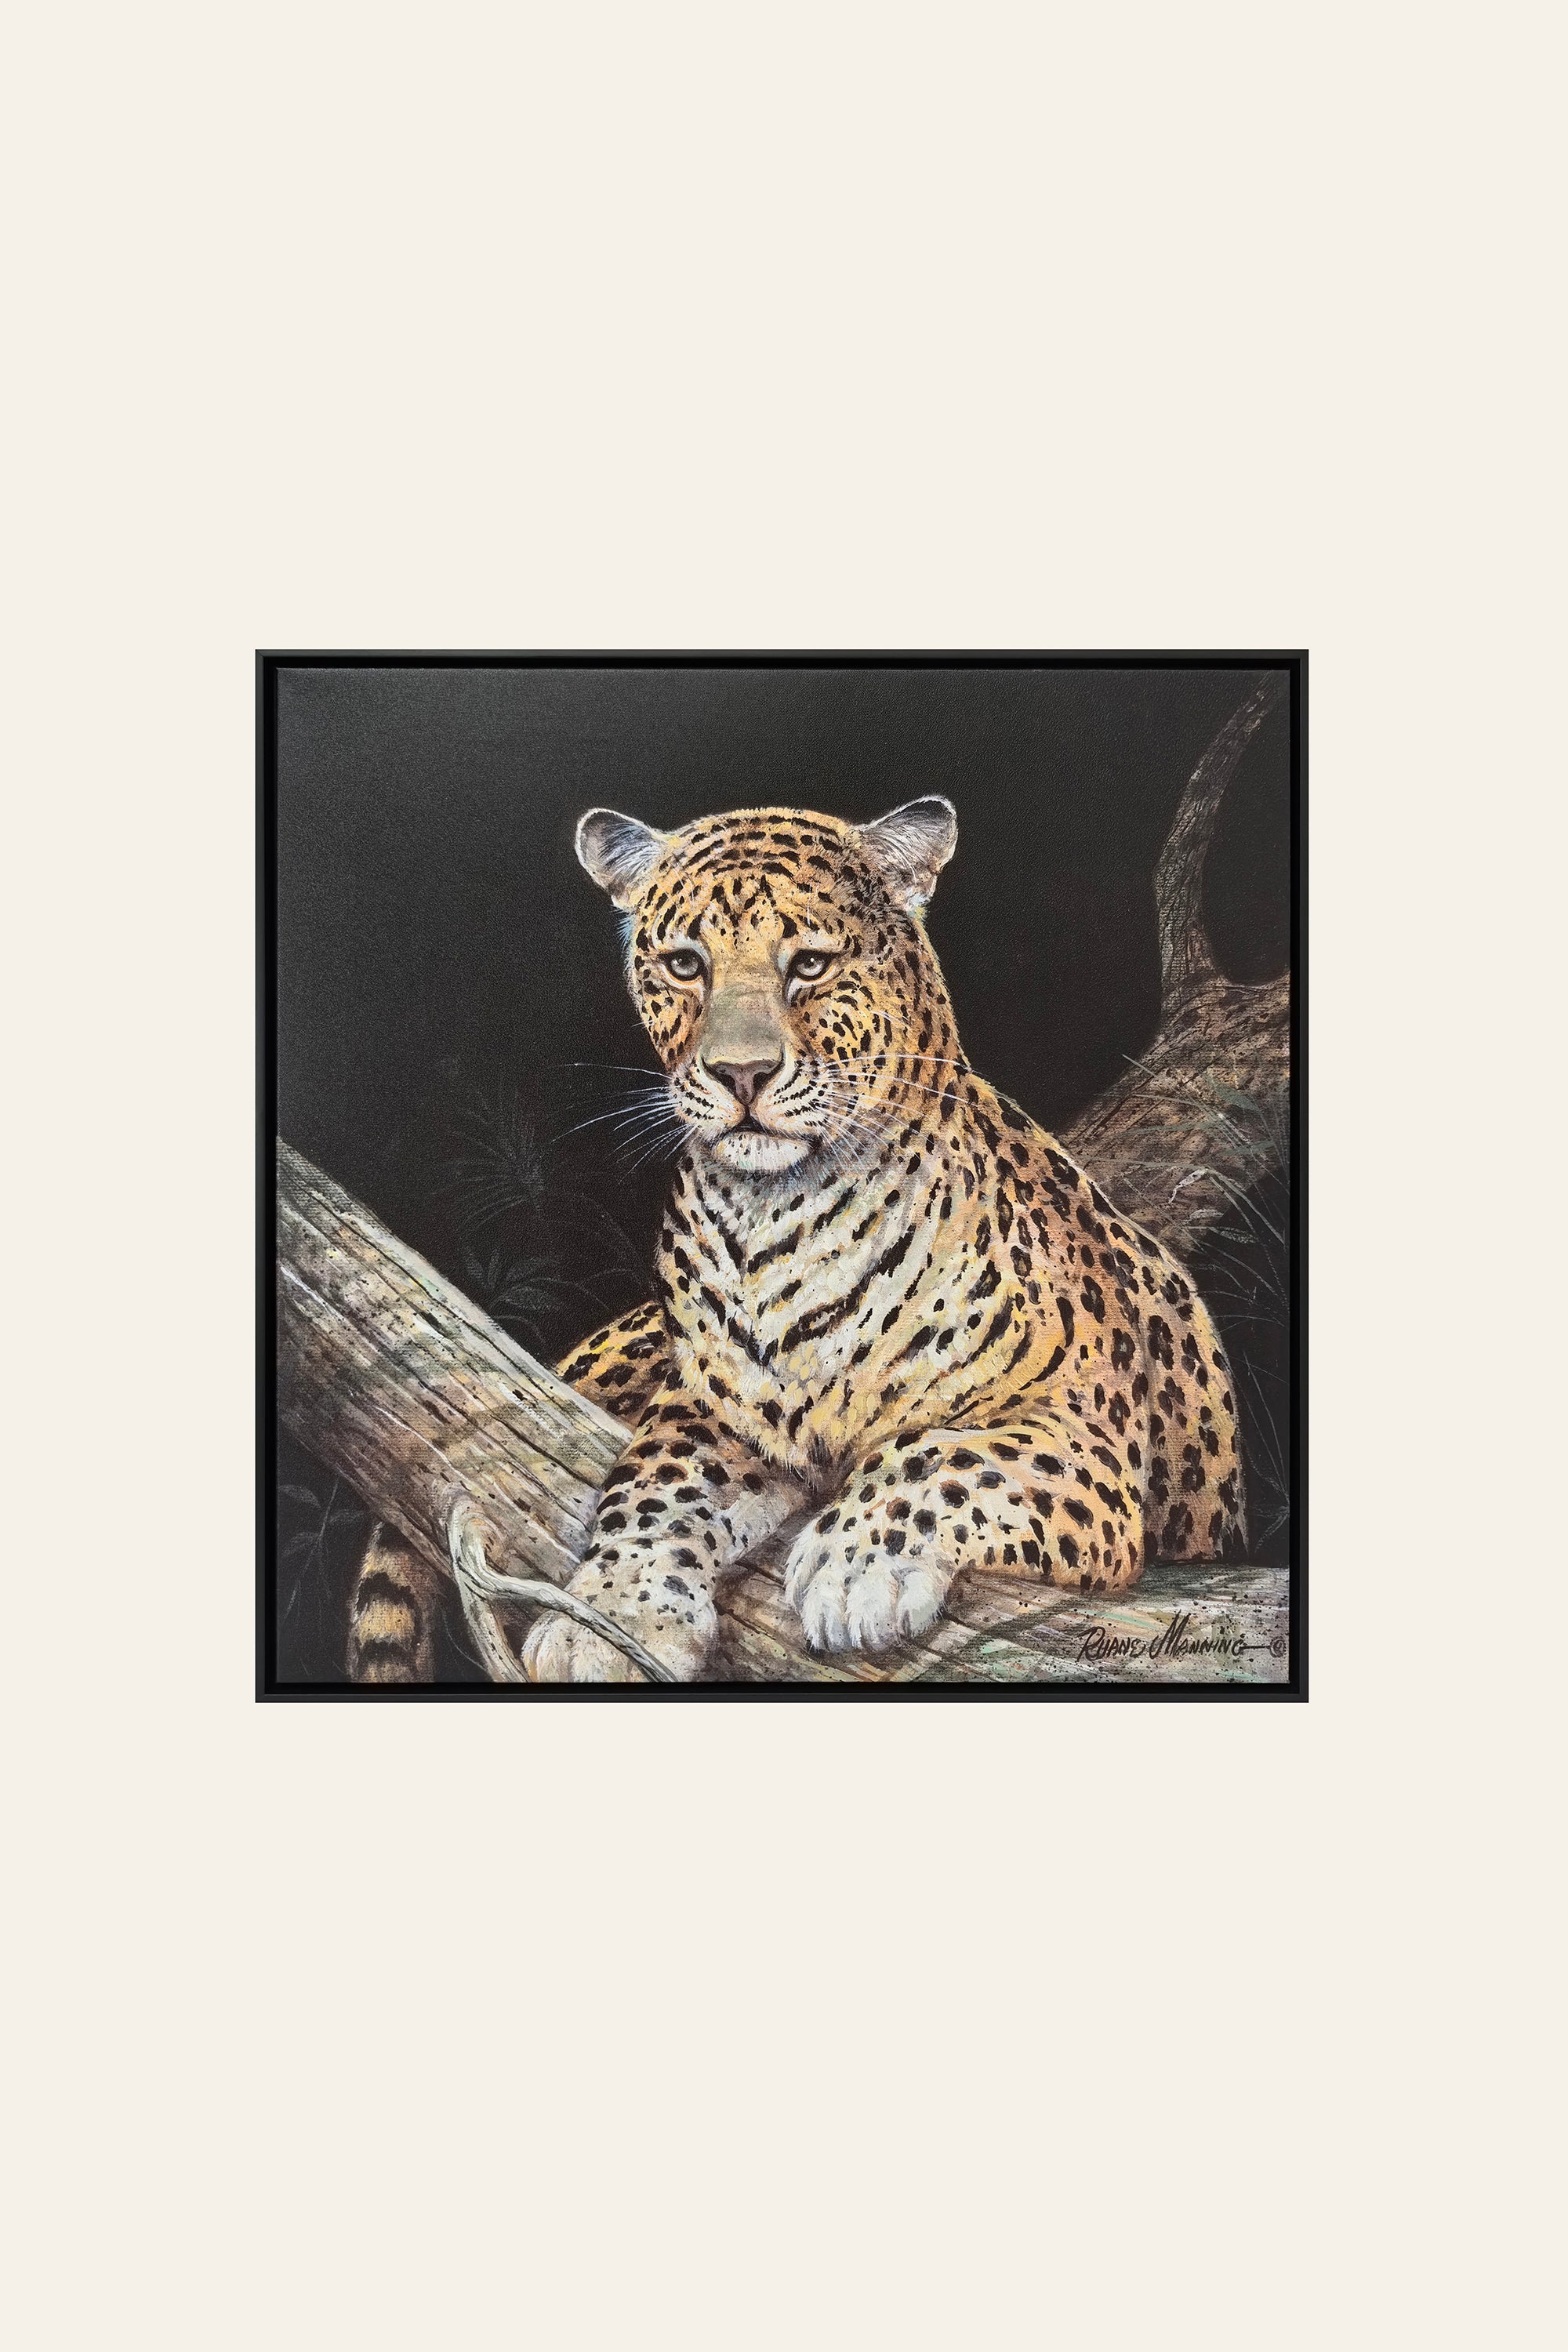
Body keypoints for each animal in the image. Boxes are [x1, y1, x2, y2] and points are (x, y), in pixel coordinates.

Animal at [348, 794, 1244, 1683]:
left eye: (809, 964)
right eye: (686, 965)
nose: (740, 1074)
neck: (779, 1217)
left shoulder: (1083, 1439)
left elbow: (944, 1455)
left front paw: (859, 1566)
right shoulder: (716, 1411)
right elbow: (657, 1482)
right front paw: (613, 1611)